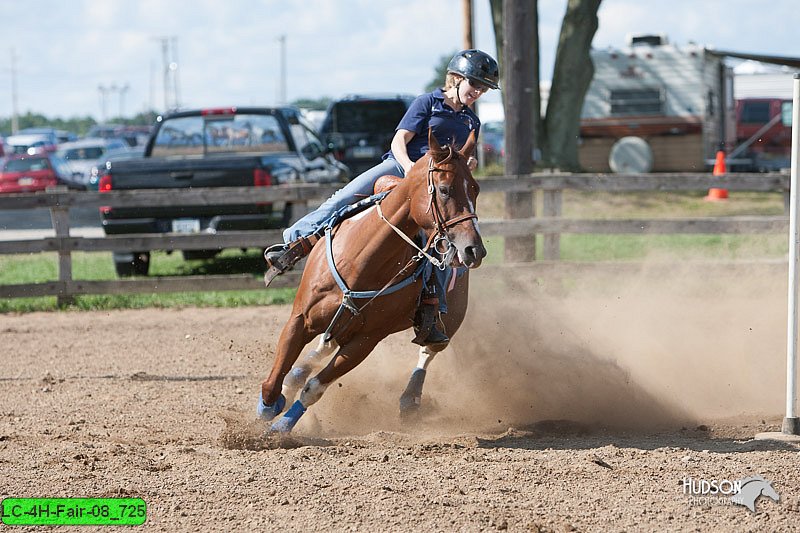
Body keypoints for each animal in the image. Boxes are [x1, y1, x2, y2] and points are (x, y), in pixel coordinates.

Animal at [258, 128, 482, 432]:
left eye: (476, 189)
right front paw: (270, 406)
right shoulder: (299, 318)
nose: (474, 250)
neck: (360, 260)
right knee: (324, 345)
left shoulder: (366, 341)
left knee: (430, 349)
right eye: (445, 189)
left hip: (453, 316)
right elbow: (273, 382)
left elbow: (314, 388)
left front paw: (281, 428)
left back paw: (410, 398)